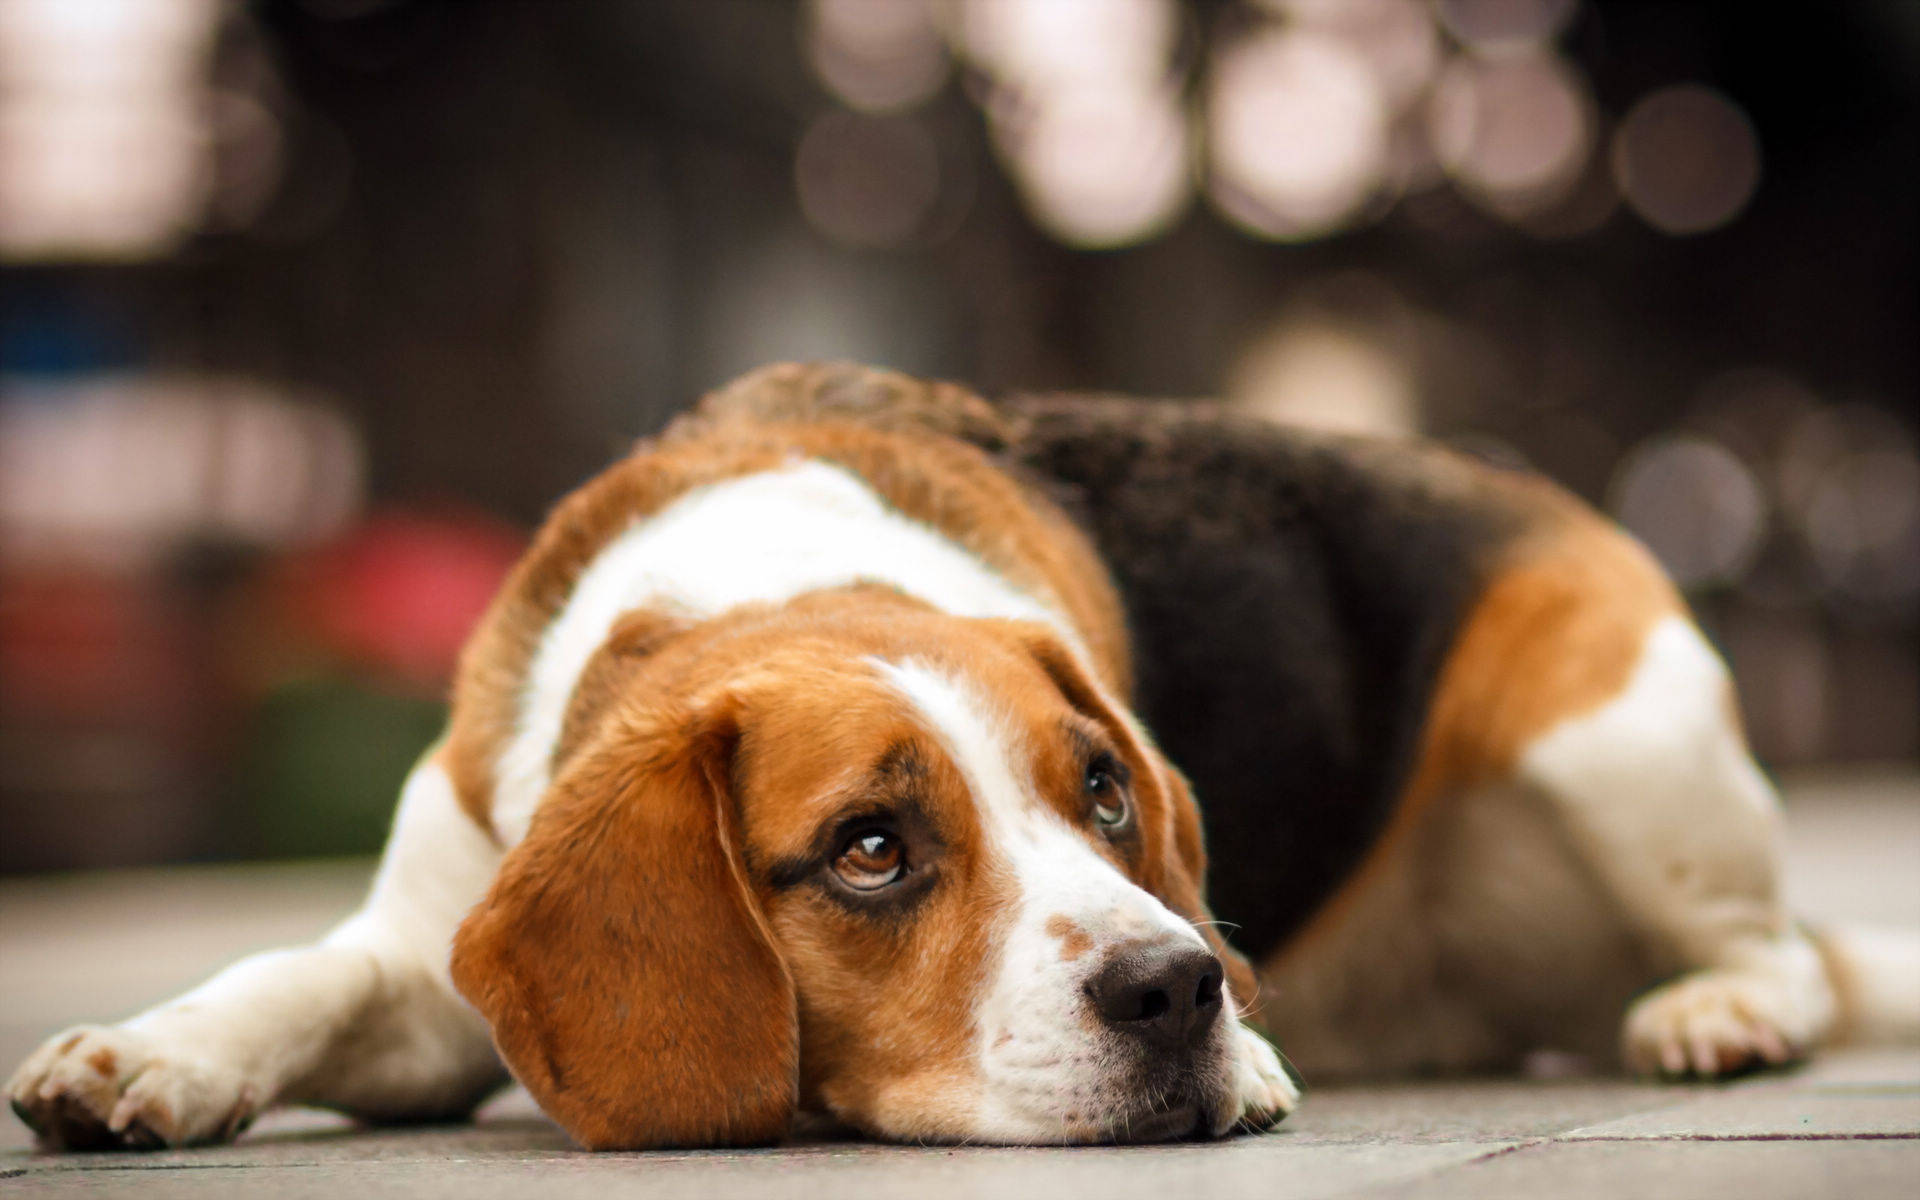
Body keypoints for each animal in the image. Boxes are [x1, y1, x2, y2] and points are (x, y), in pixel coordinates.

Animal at [7, 370, 1297, 1144]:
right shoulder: (429, 969)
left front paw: (1252, 1053)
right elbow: (303, 976)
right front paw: (156, 1053)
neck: (771, 581)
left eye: (1105, 793)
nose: (1179, 990)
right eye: (870, 850)